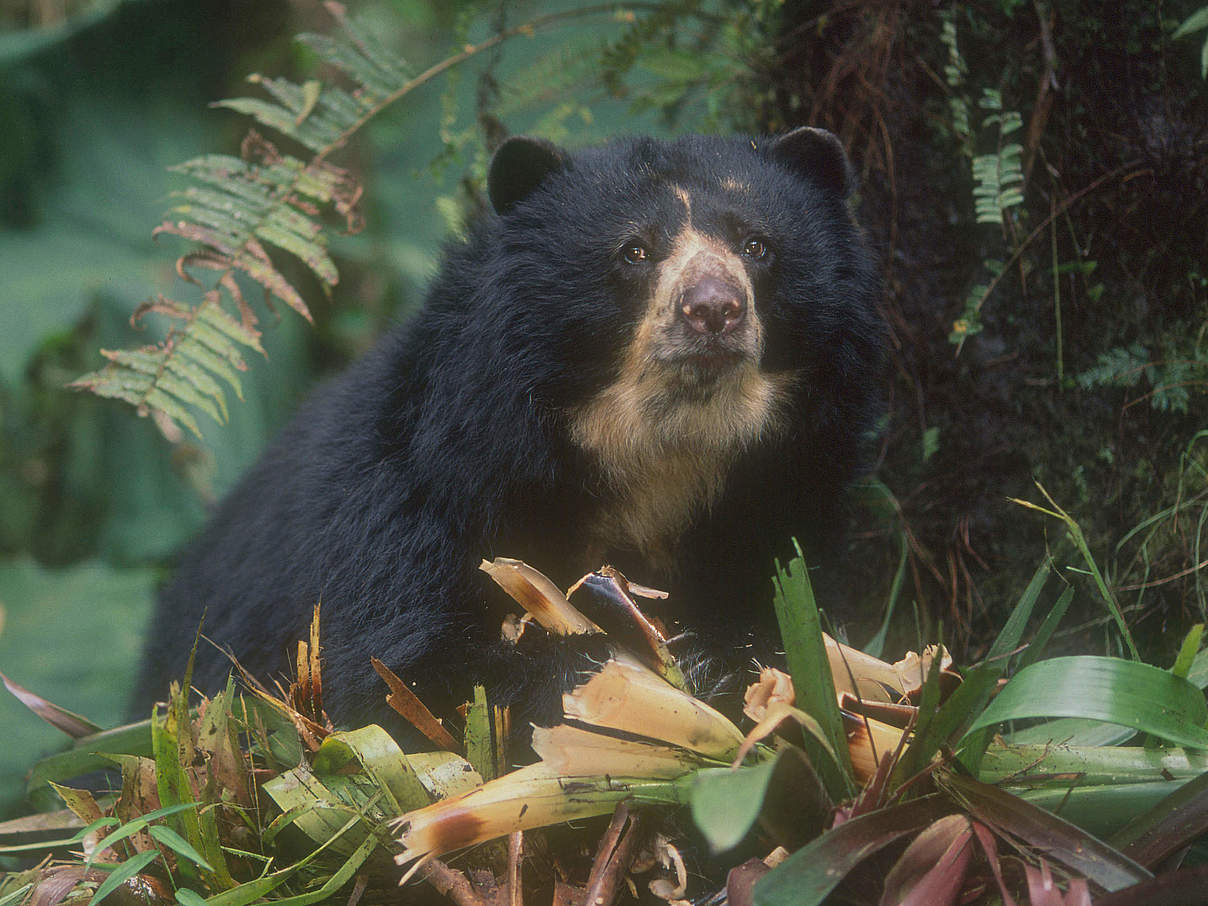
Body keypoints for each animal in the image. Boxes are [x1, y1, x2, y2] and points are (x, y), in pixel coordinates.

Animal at [134, 128, 889, 739]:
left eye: (757, 245)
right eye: (634, 251)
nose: (713, 310)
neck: (658, 453)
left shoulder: (782, 496)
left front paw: (728, 660)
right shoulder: (417, 500)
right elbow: (406, 679)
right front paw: (633, 678)